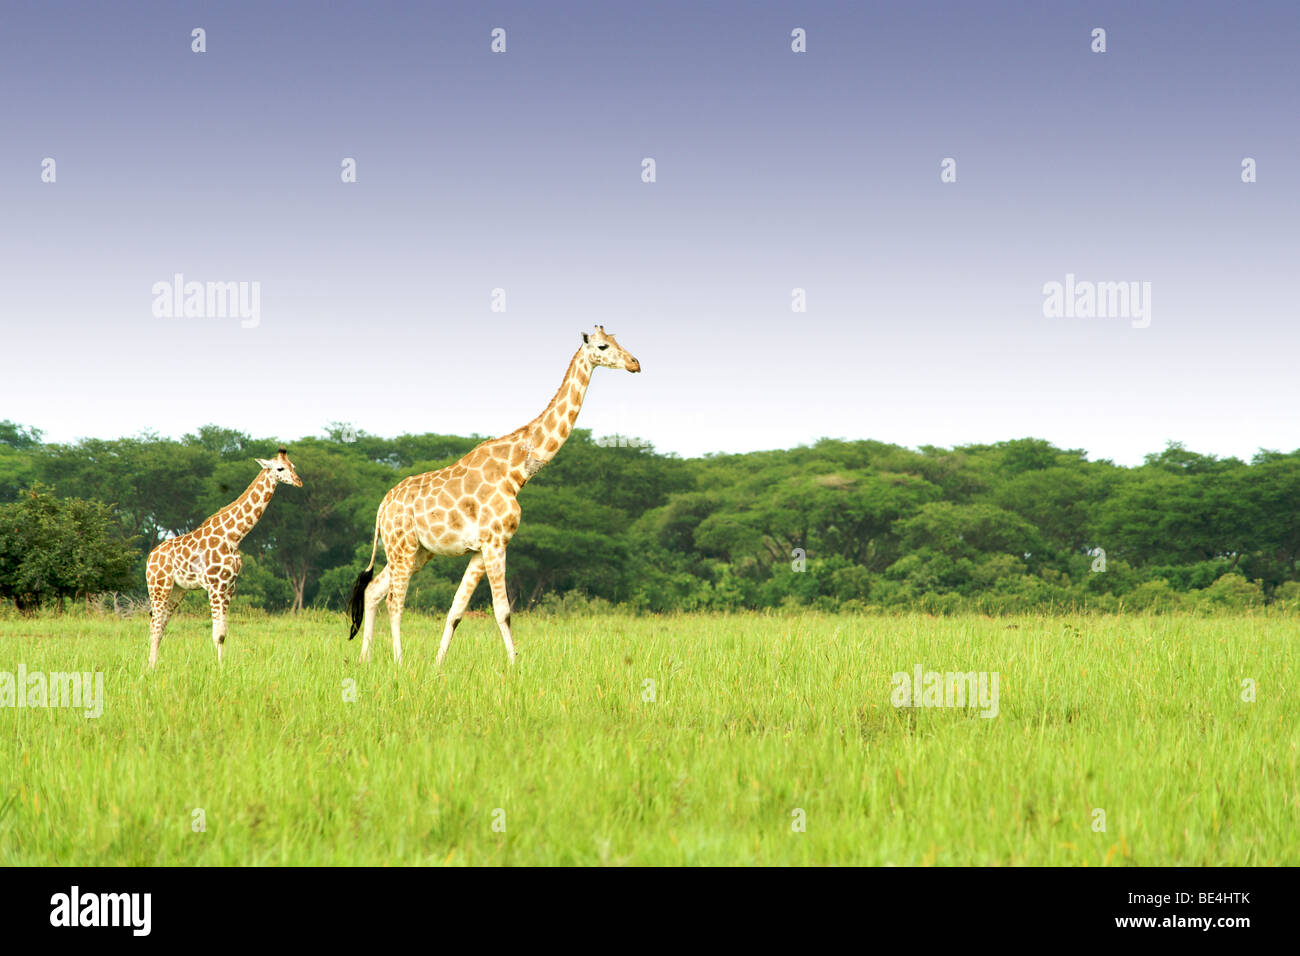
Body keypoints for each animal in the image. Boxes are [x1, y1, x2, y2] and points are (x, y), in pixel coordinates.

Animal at [145, 448, 302, 667]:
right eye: (280, 468)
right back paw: (150, 667)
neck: (234, 536)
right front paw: (219, 668)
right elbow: (217, 634)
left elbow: (223, 633)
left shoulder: (229, 587)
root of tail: (150, 557)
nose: (298, 481)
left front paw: (222, 666)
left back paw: (153, 665)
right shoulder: (215, 586)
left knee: (160, 626)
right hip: (159, 586)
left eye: (293, 466)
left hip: (177, 589)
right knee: (154, 624)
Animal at [347, 326, 641, 665]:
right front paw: (515, 665)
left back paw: (364, 659)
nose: (635, 363)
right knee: (395, 601)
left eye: (618, 340)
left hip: (418, 551)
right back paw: (398, 661)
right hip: (402, 547)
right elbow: (503, 611)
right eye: (603, 346)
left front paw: (438, 664)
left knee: (373, 590)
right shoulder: (496, 541)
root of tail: (381, 508)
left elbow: (456, 611)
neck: (517, 471)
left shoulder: (479, 549)